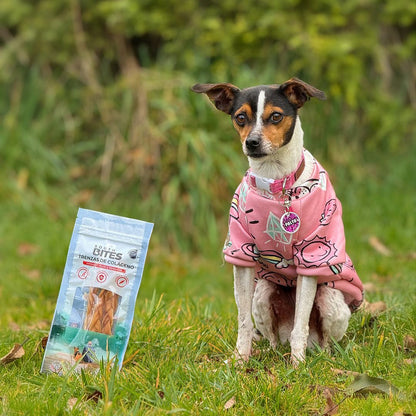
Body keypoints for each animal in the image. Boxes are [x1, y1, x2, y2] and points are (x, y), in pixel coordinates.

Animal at [193, 78, 364, 364]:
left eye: (275, 116)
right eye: (240, 118)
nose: (252, 142)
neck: (277, 183)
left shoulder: (311, 257)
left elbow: (301, 323)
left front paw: (298, 365)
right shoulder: (240, 255)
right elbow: (243, 322)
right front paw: (239, 360)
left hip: (331, 300)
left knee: (322, 339)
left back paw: (320, 356)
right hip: (263, 292)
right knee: (272, 337)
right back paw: (269, 351)